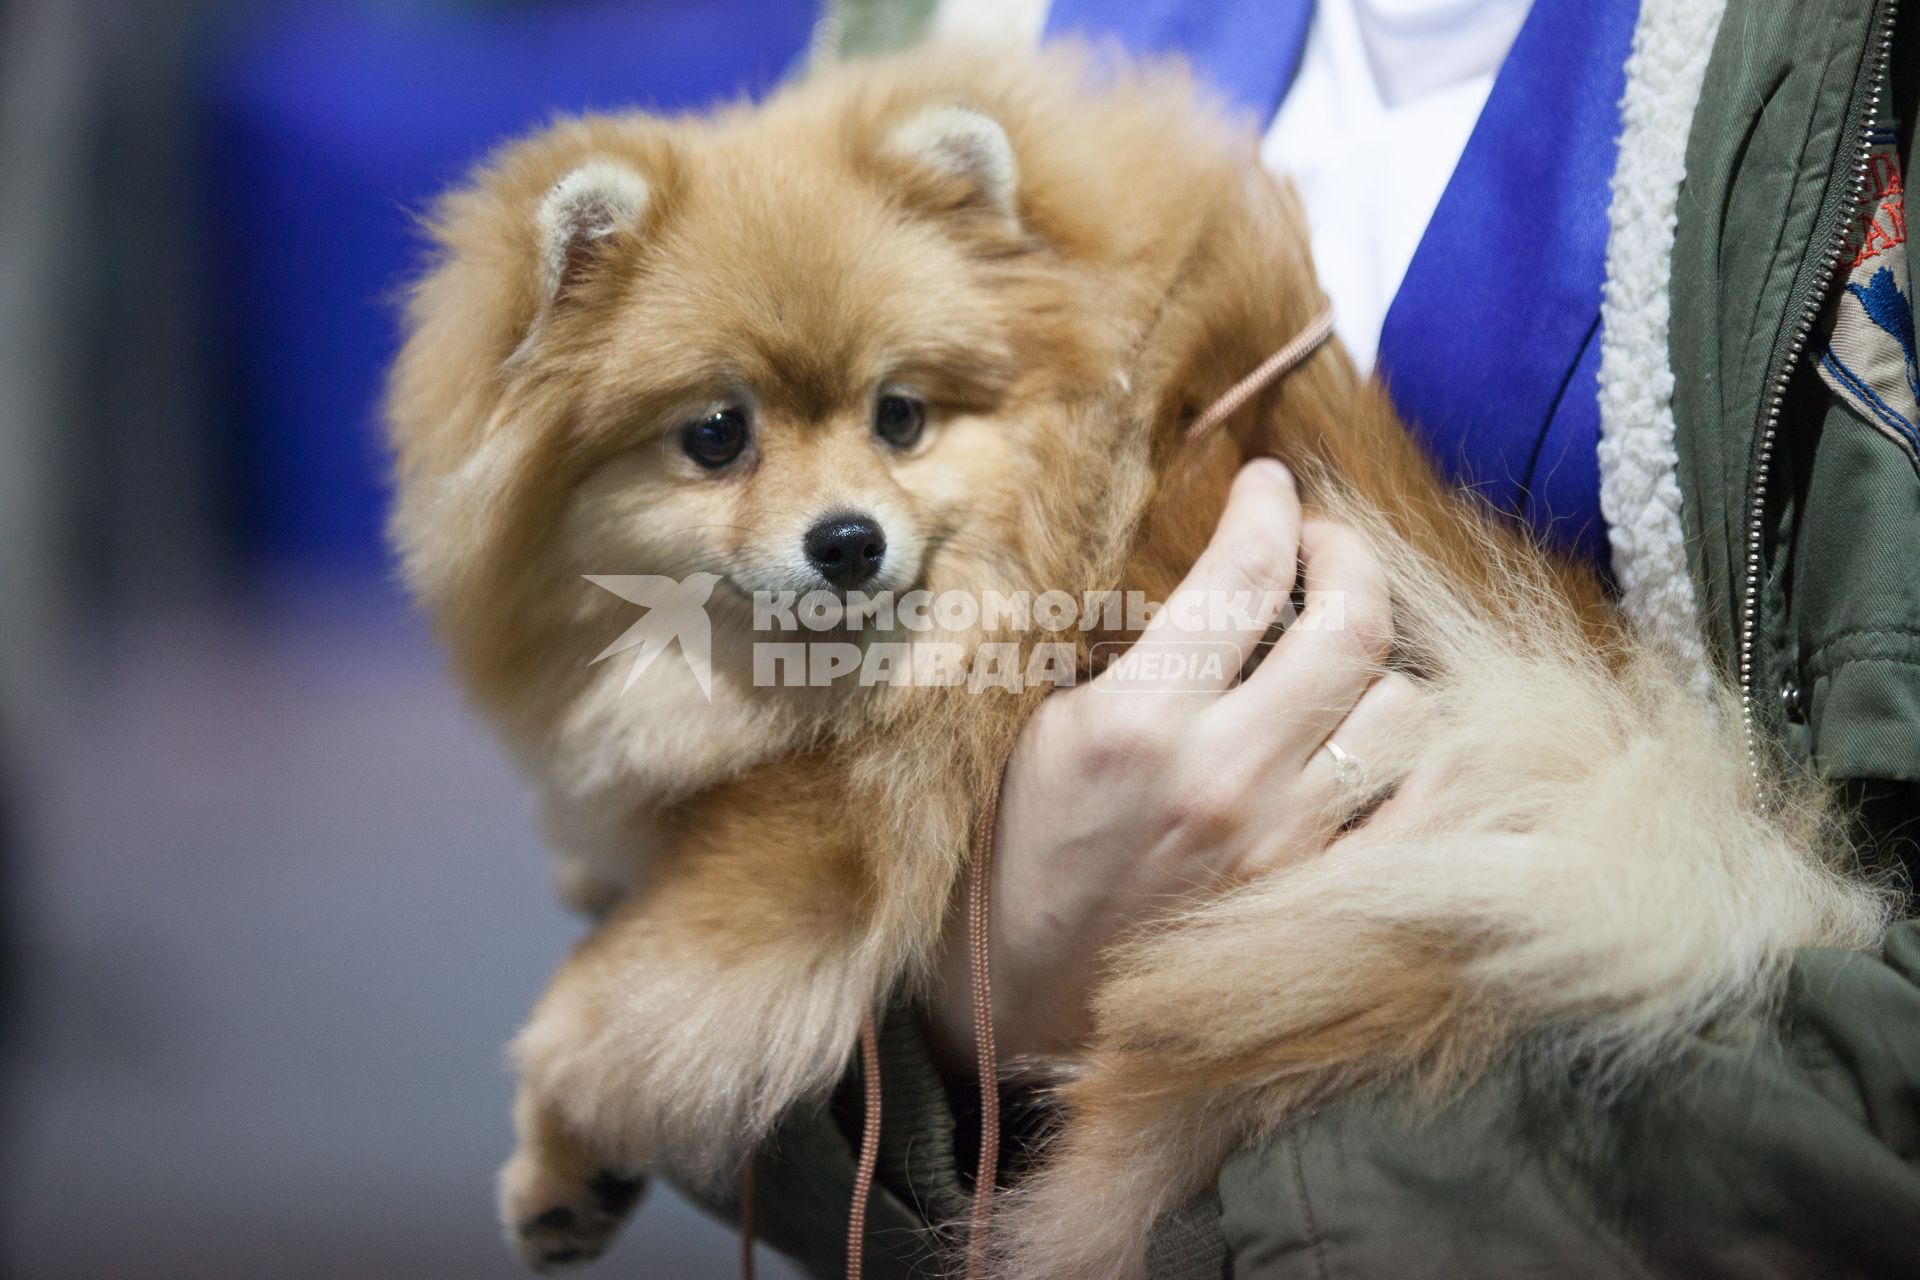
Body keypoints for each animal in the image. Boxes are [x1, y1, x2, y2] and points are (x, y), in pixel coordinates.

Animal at [389, 42, 1889, 1280]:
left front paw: (554, 1129)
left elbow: (616, 999)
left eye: (898, 414)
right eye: (716, 434)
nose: (849, 540)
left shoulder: (830, 841)